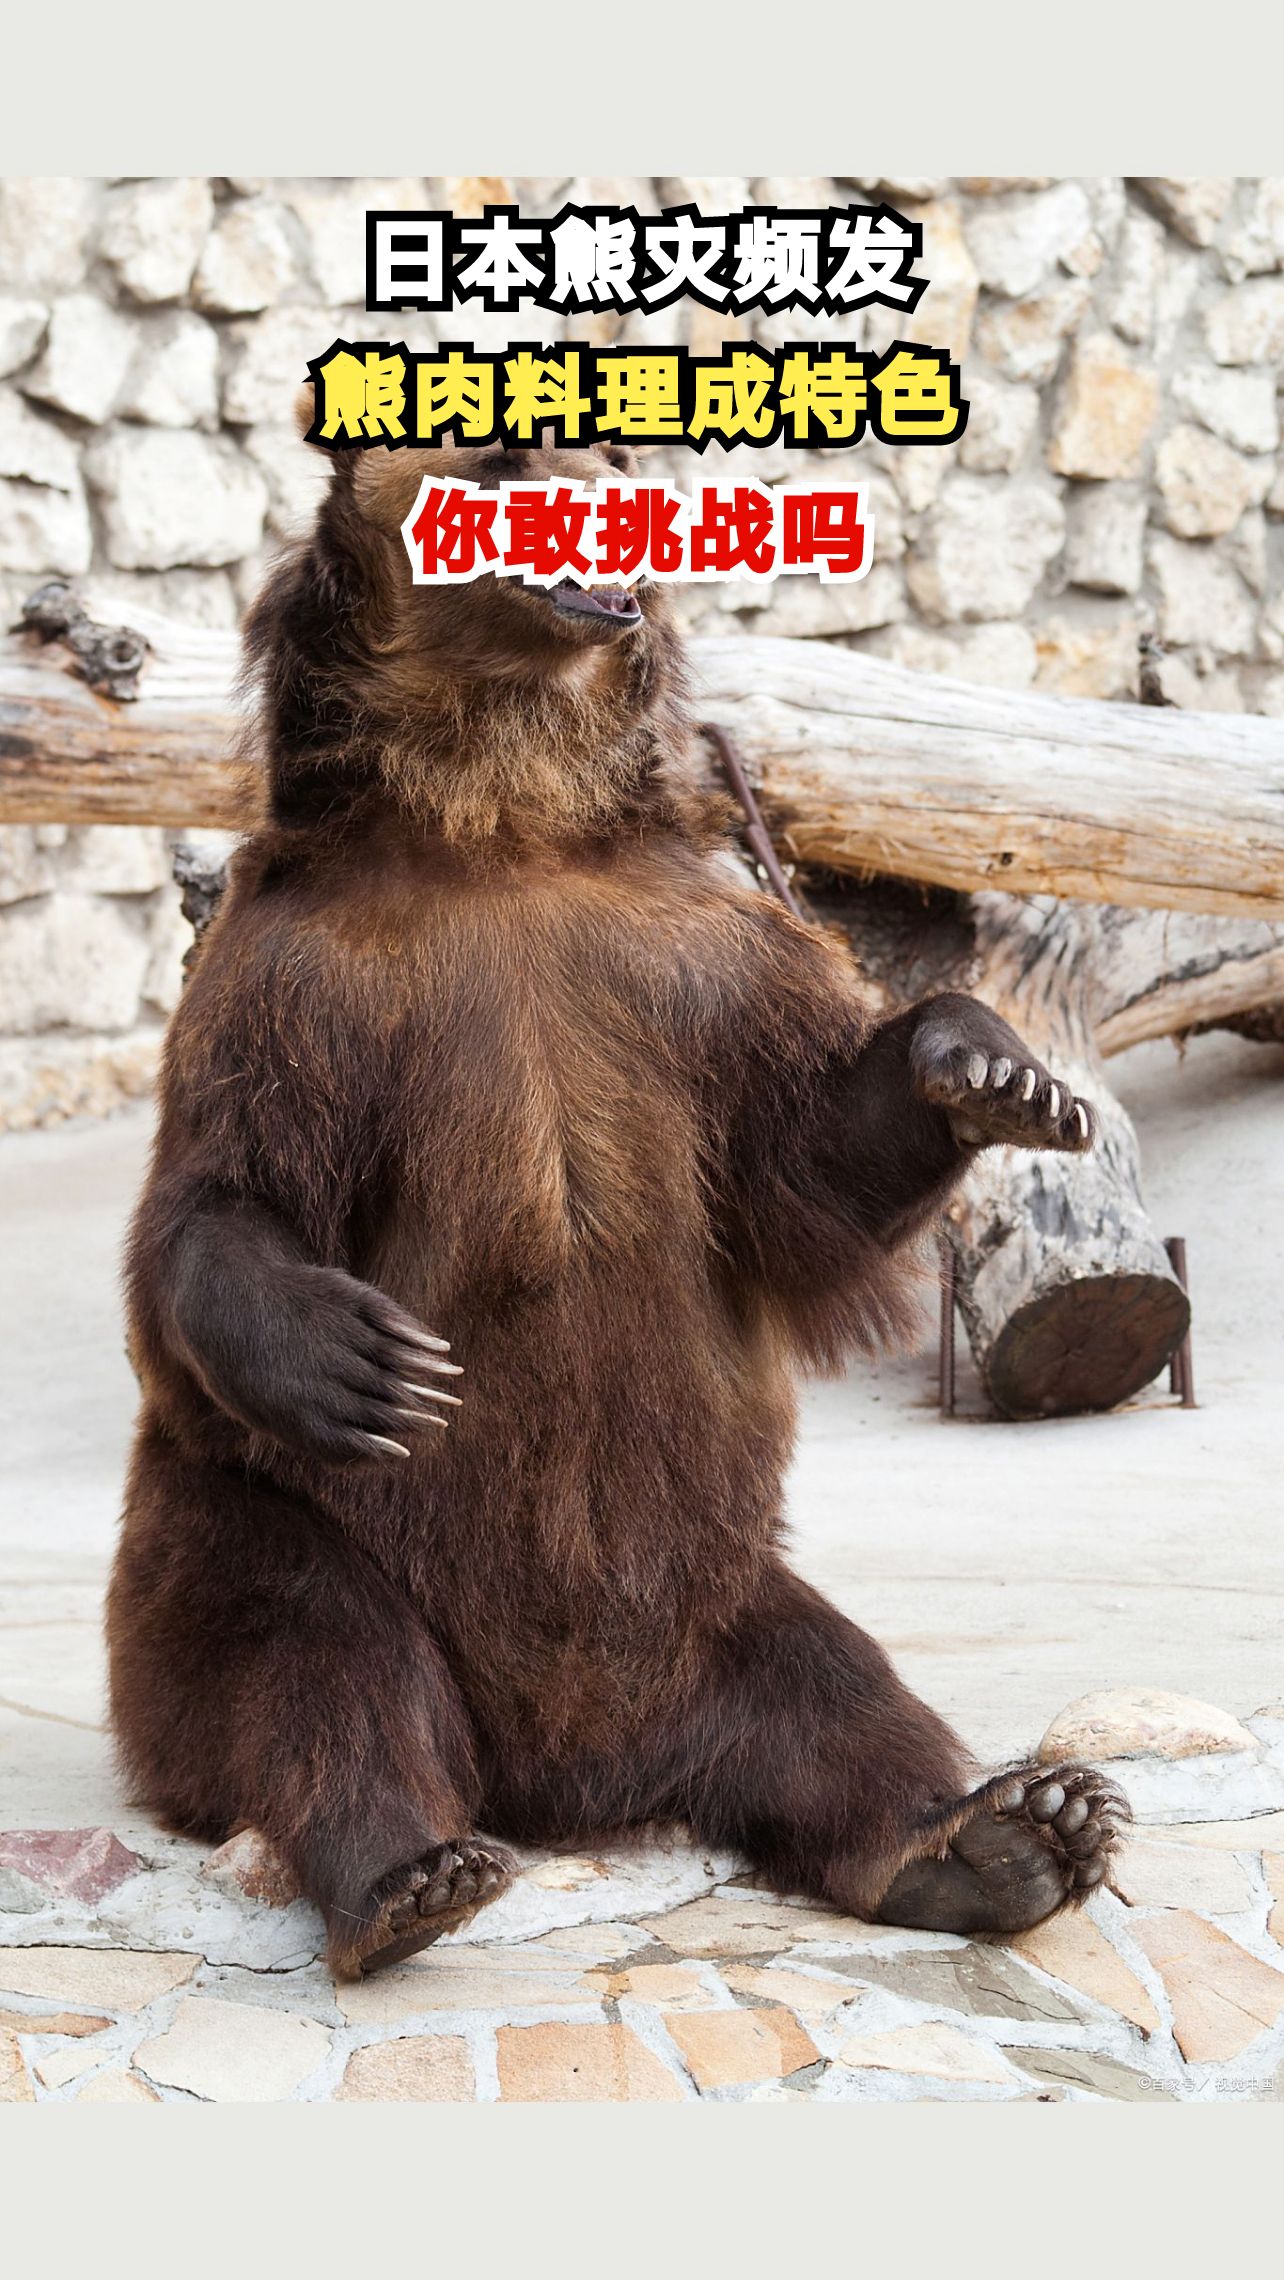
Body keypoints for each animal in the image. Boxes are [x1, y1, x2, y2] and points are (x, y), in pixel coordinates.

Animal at [107, 434, 1126, 1978]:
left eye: (612, 437)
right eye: (508, 444)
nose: (602, 480)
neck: (498, 824)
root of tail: (572, 1780)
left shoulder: (687, 963)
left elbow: (796, 1170)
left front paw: (991, 1067)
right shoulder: (303, 984)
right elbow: (223, 1193)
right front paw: (360, 1356)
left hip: (718, 1589)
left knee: (835, 1691)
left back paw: (998, 1834)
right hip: (269, 1526)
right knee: (312, 1657)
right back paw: (408, 1876)